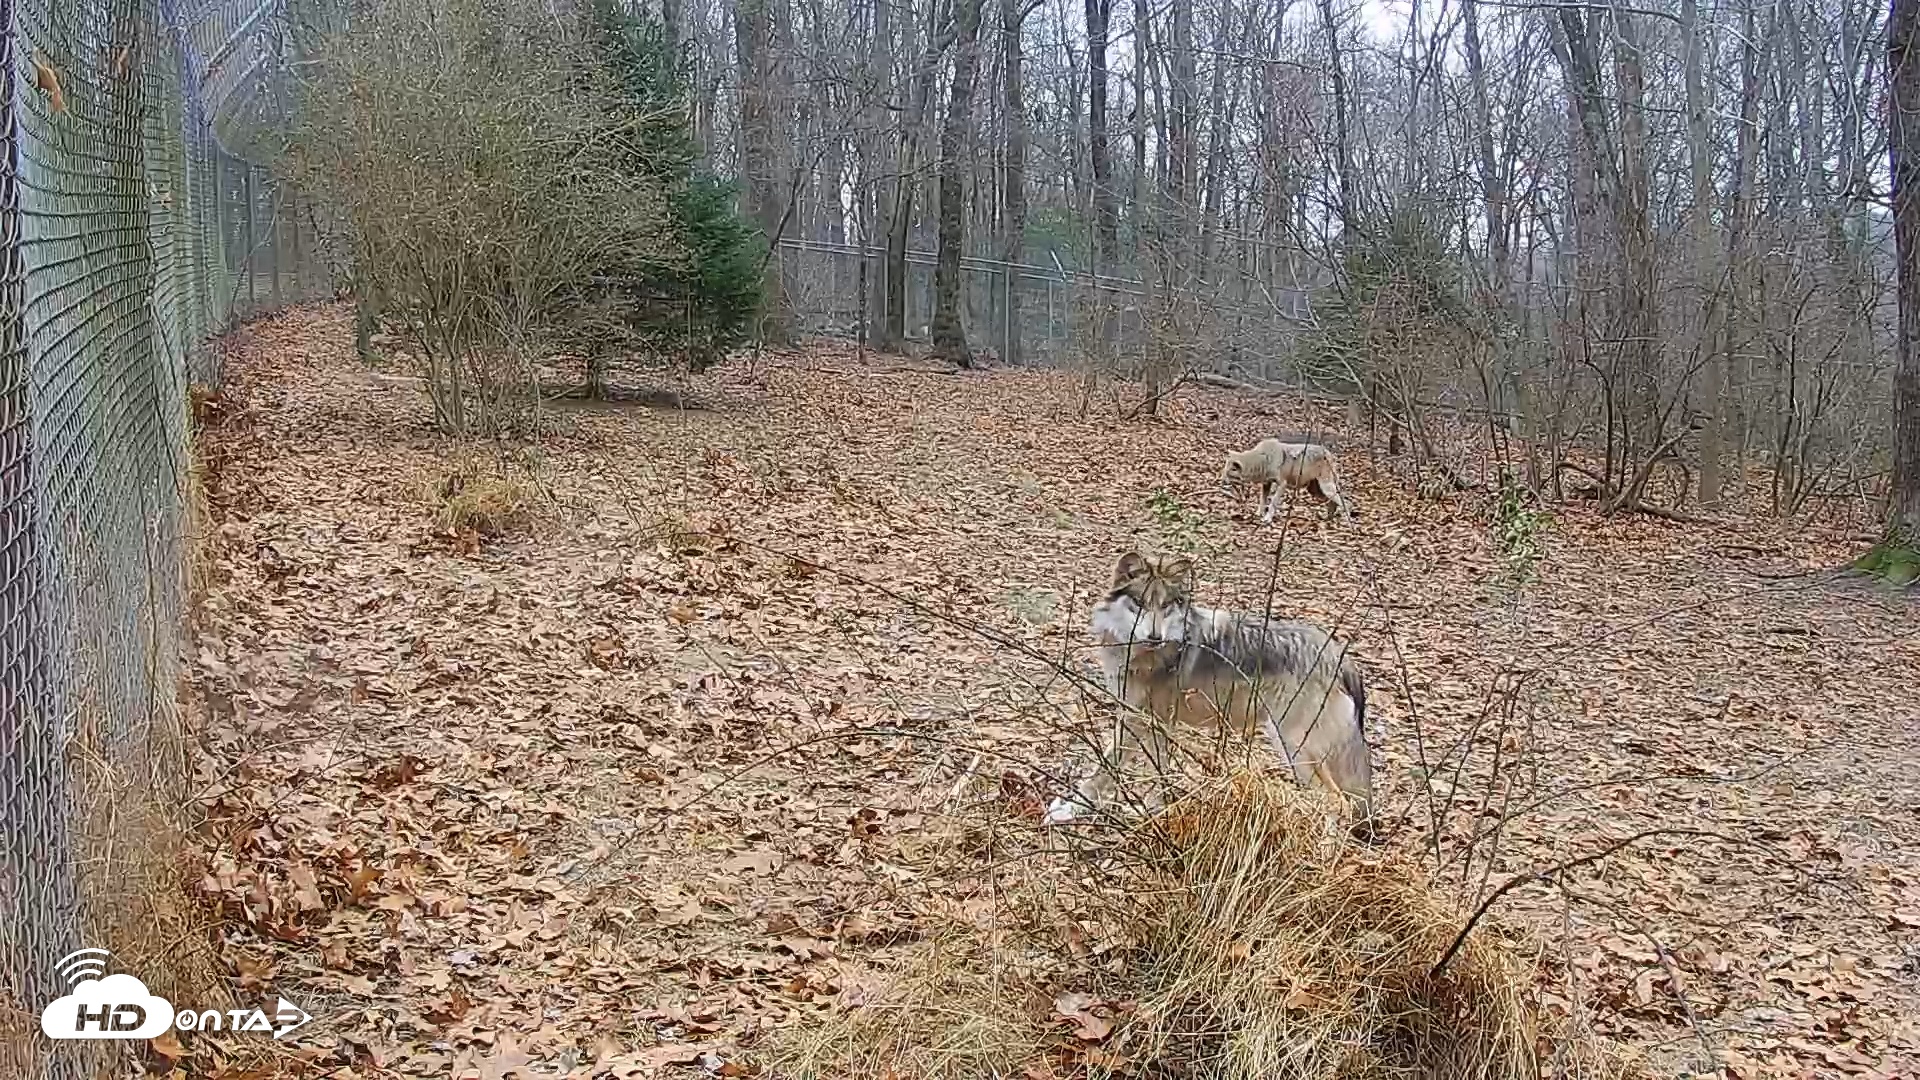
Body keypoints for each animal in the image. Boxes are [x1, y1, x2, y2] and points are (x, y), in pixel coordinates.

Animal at [1045, 550, 1374, 831]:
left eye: (1165, 606)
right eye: (1140, 604)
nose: (1155, 637)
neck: (1140, 654)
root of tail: (1341, 656)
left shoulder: (1138, 720)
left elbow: (1103, 770)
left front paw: (1068, 809)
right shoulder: (1155, 724)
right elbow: (1158, 774)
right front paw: (1156, 812)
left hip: (1294, 746)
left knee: (1338, 804)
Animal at [1221, 439, 1351, 524]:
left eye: (1228, 473)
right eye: (1224, 471)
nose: (1221, 481)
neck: (1263, 459)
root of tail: (1329, 453)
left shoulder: (1282, 484)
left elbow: (1272, 503)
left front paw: (1267, 519)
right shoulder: (1266, 484)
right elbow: (1262, 501)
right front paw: (1259, 514)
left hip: (1326, 488)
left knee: (1346, 502)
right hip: (1316, 491)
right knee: (1333, 503)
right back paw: (1327, 518)